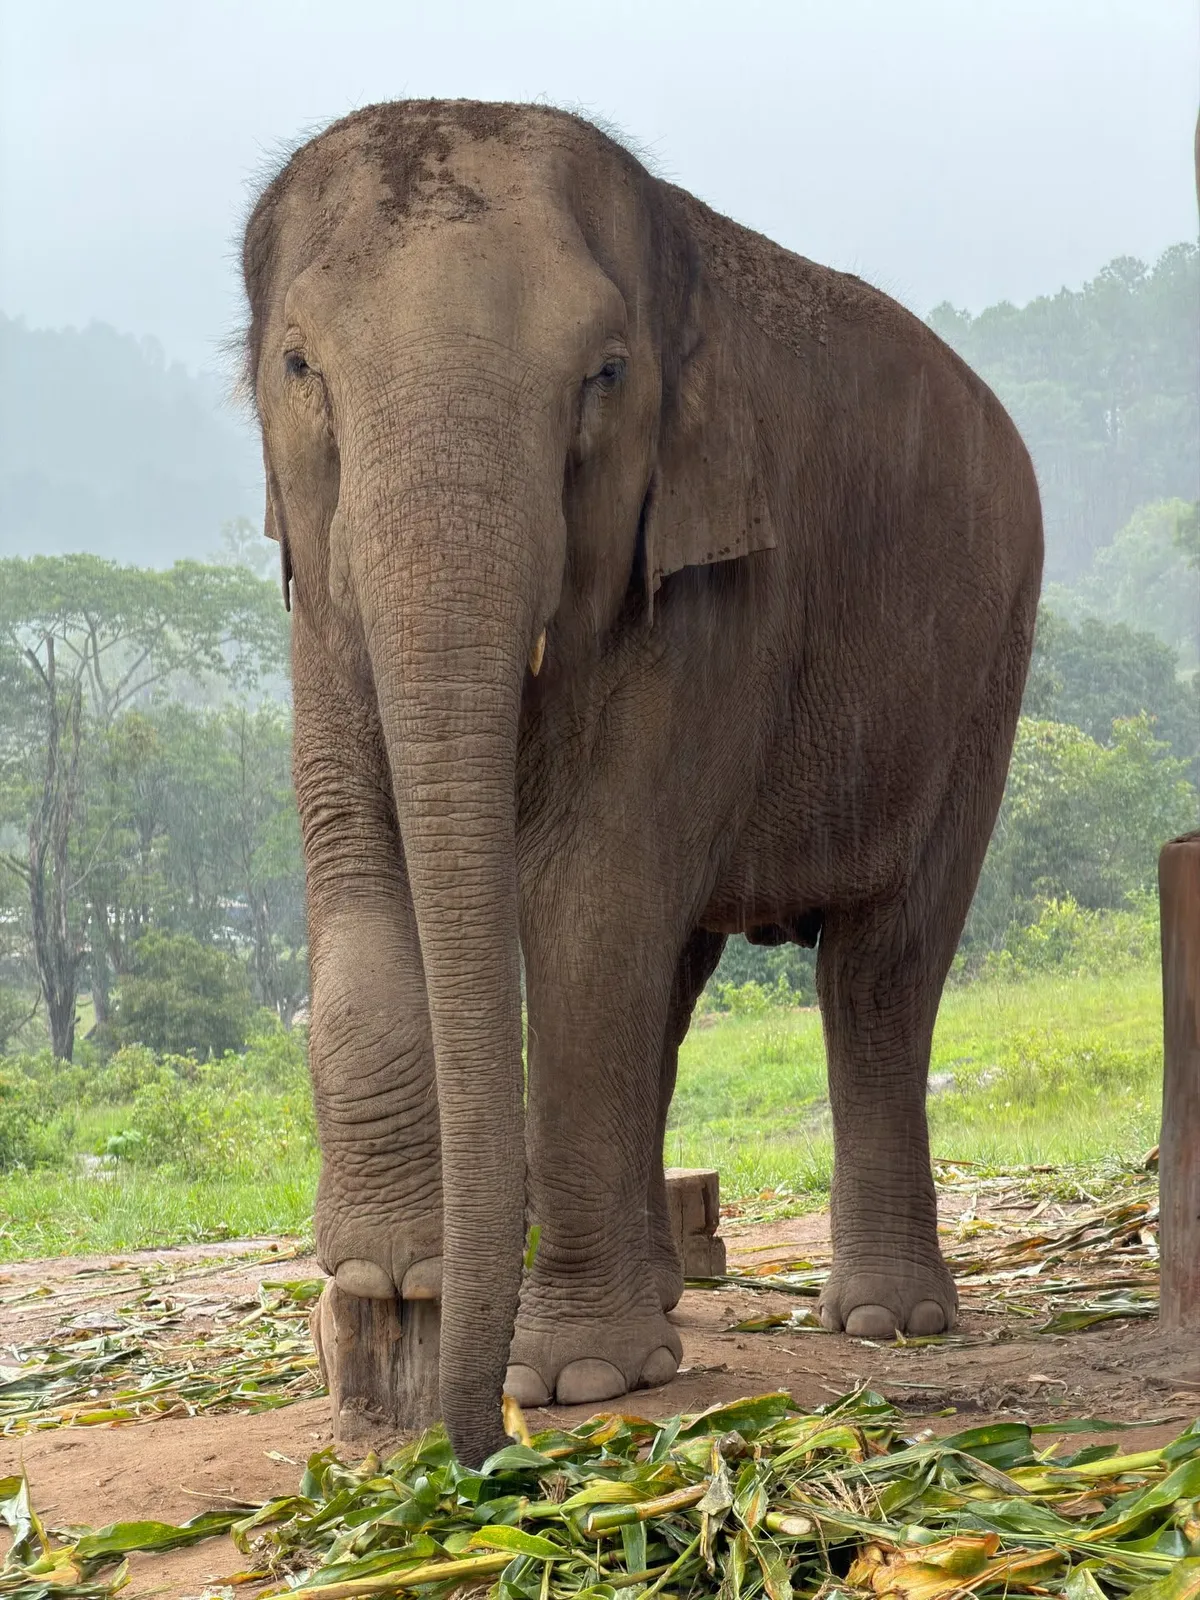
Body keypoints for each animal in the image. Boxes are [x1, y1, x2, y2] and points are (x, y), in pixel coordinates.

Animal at [242, 99, 1043, 1467]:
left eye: (605, 375)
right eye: (299, 366)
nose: (479, 1446)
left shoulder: (716, 586)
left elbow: (589, 907)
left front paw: (570, 1377)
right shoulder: (317, 576)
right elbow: (355, 855)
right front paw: (391, 1271)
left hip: (984, 678)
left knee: (878, 974)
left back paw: (889, 1321)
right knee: (672, 980)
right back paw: (665, 1293)